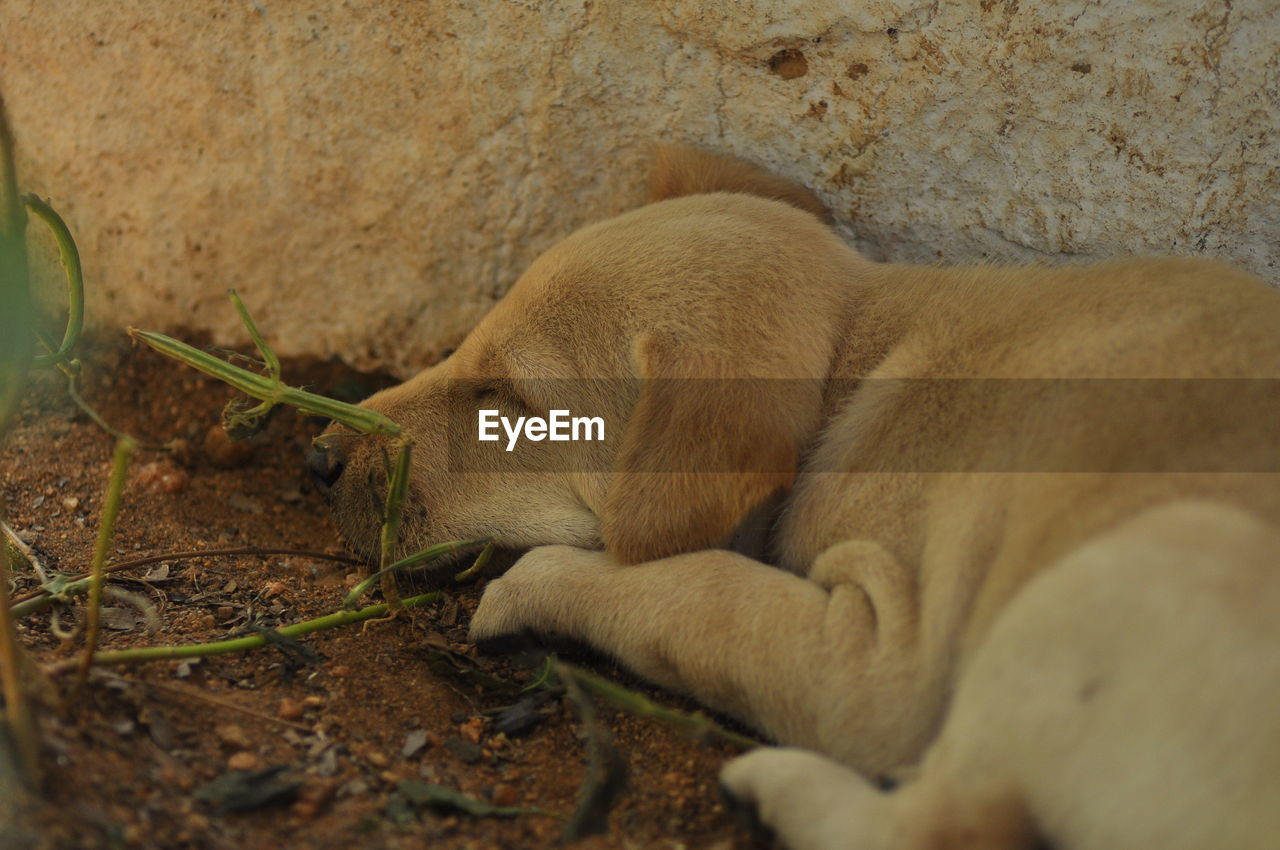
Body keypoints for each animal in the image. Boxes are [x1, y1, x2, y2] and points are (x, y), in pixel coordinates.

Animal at [309, 147, 1280, 850]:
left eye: (506, 400)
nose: (315, 460)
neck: (860, 348)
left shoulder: (880, 667)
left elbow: (692, 589)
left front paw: (539, 582)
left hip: (1133, 564)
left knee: (944, 825)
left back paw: (773, 786)